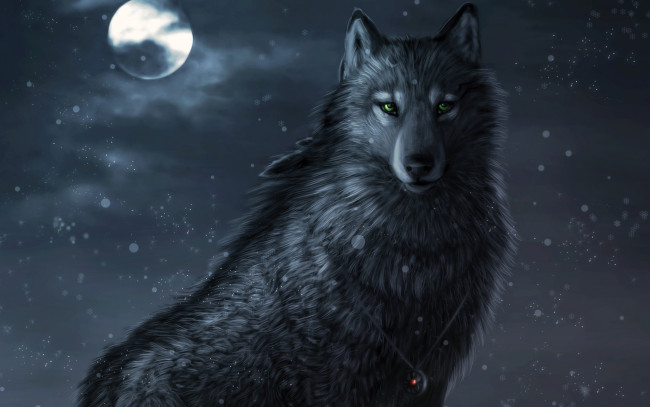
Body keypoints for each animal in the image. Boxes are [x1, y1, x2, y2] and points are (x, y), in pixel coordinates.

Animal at [77, 3, 516, 406]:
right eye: (390, 106)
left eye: (444, 106)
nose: (419, 165)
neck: (414, 252)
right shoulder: (337, 381)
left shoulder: (429, 376)